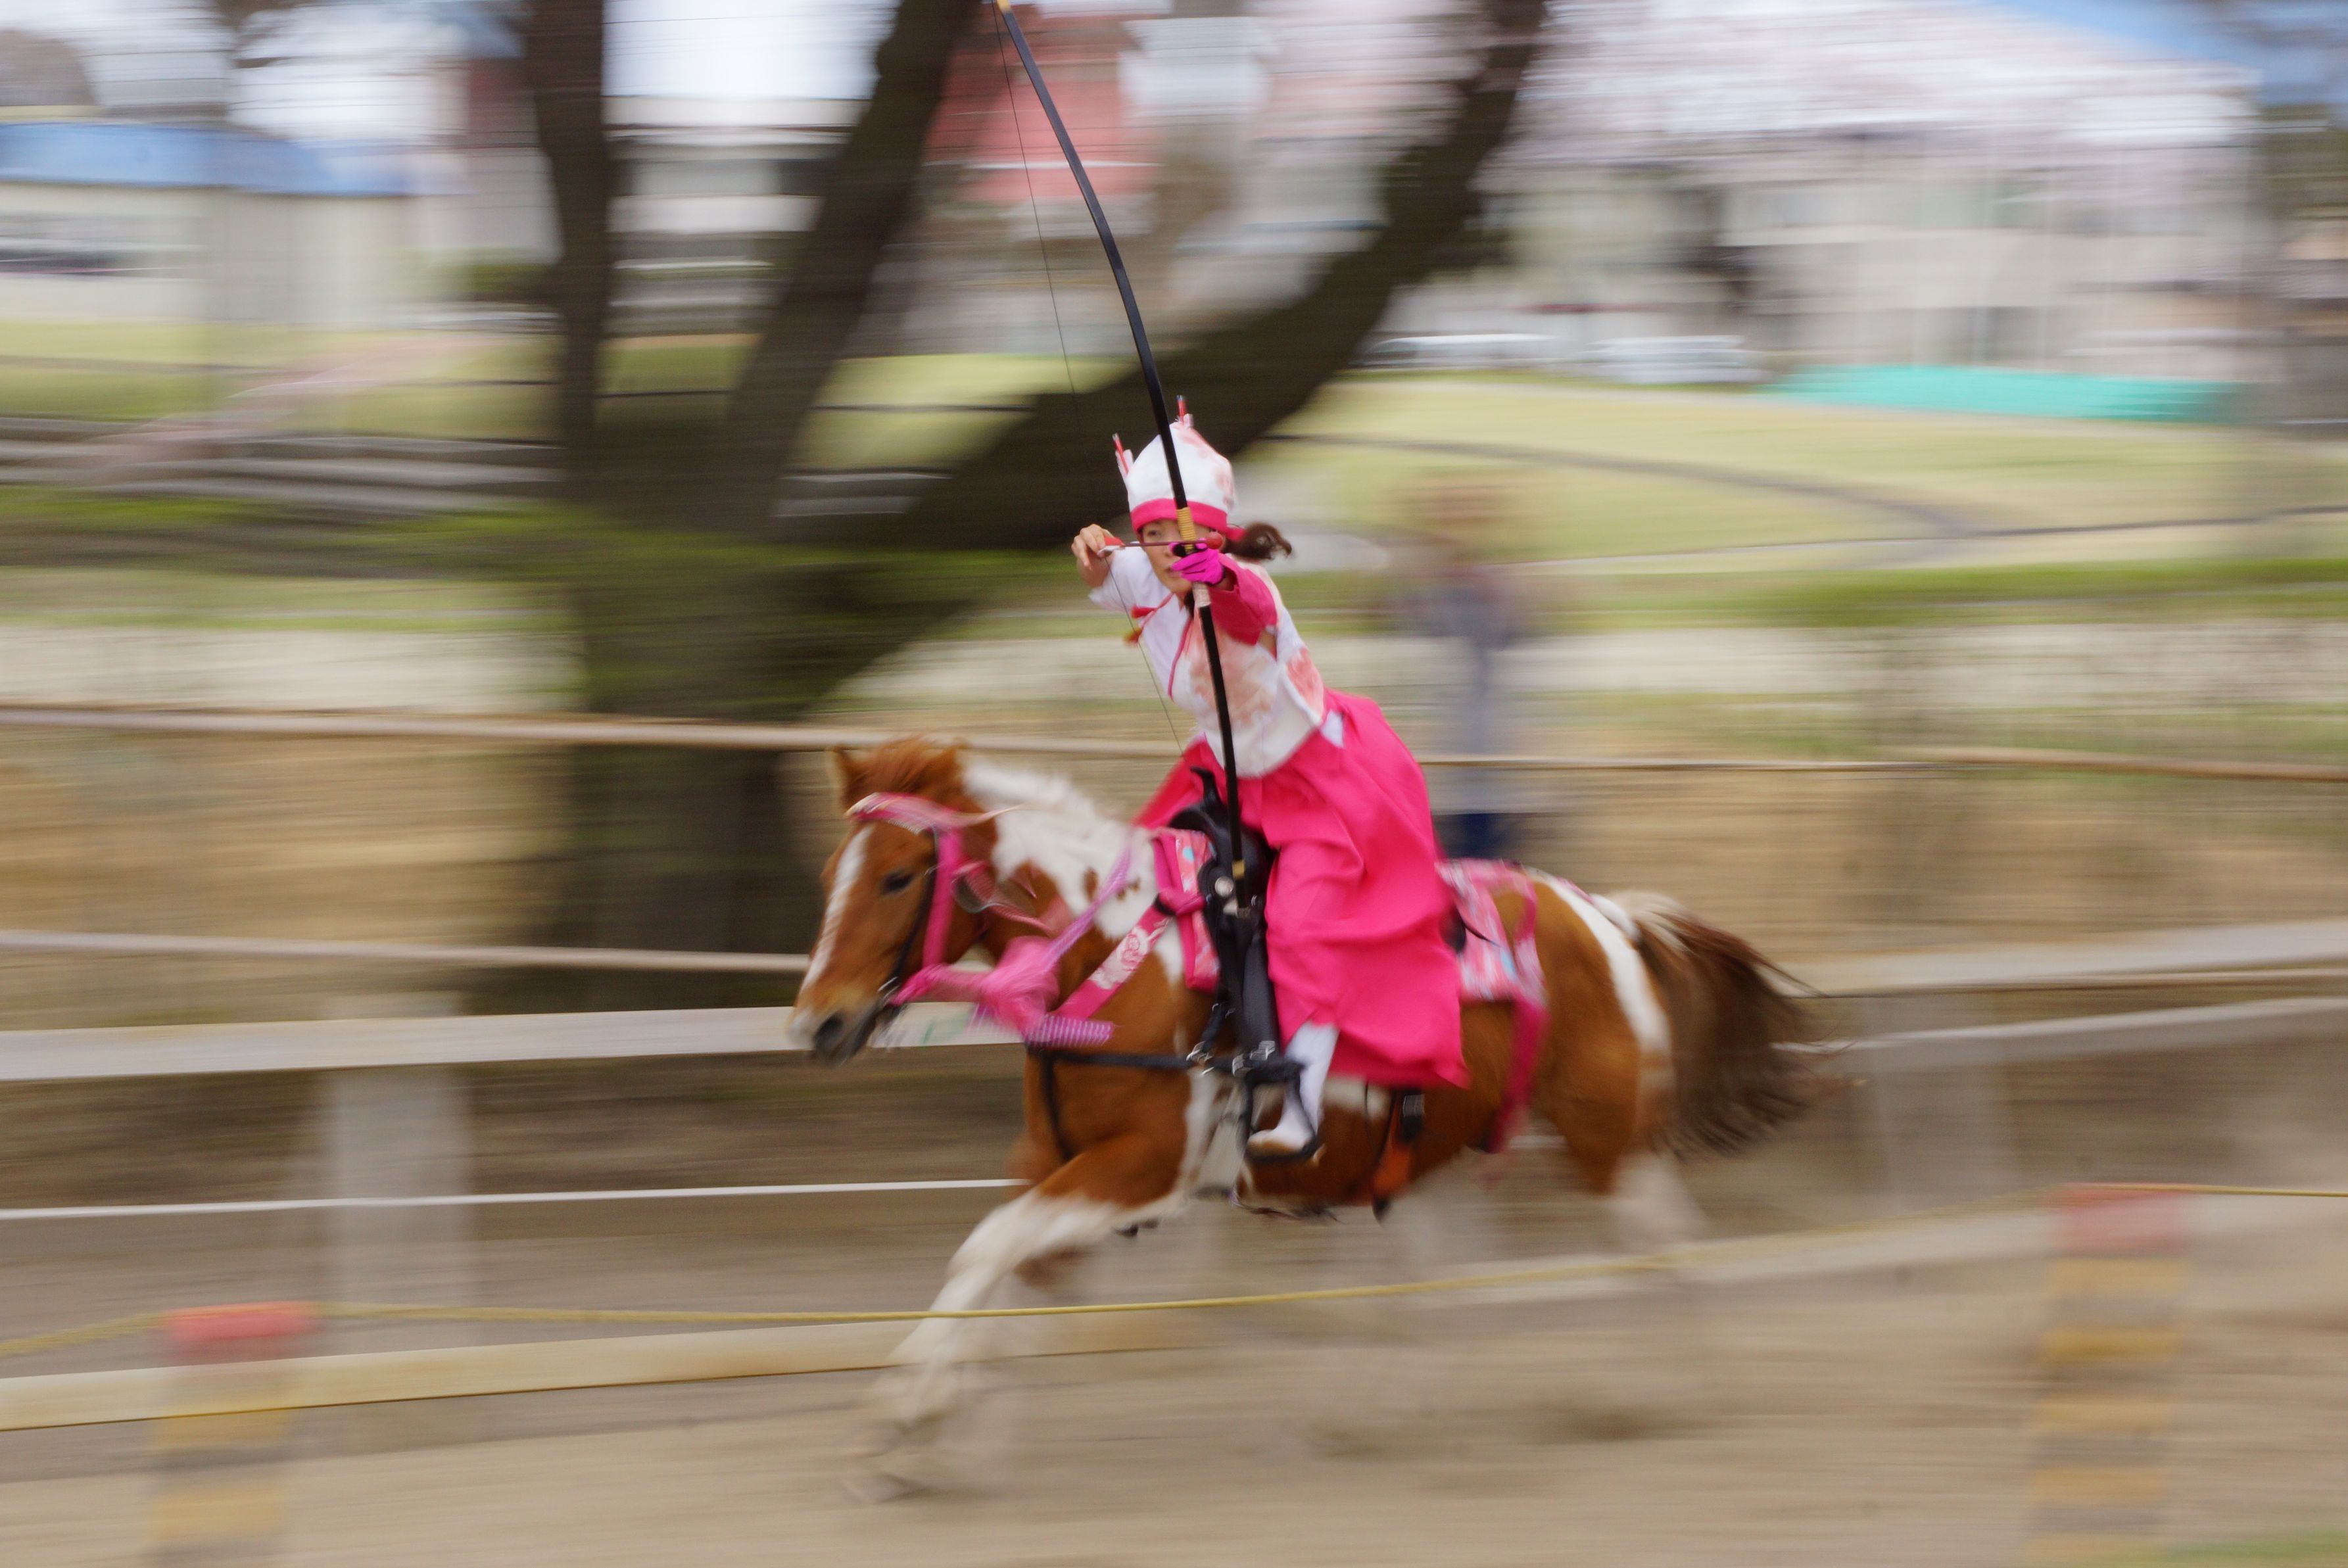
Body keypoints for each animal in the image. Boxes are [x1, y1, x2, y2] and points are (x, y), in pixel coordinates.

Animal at [791, 737, 1810, 1456]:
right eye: (831, 876)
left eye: (896, 876)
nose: (817, 1023)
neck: (1123, 959)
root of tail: (1609, 918)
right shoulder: (1052, 1159)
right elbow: (1011, 1274)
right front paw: (948, 1431)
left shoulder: (1142, 1169)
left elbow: (989, 1247)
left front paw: (904, 1411)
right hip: (1438, 1154)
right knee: (1442, 1272)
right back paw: (1381, 1413)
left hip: (1608, 1141)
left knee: (1660, 1240)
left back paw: (1656, 1395)